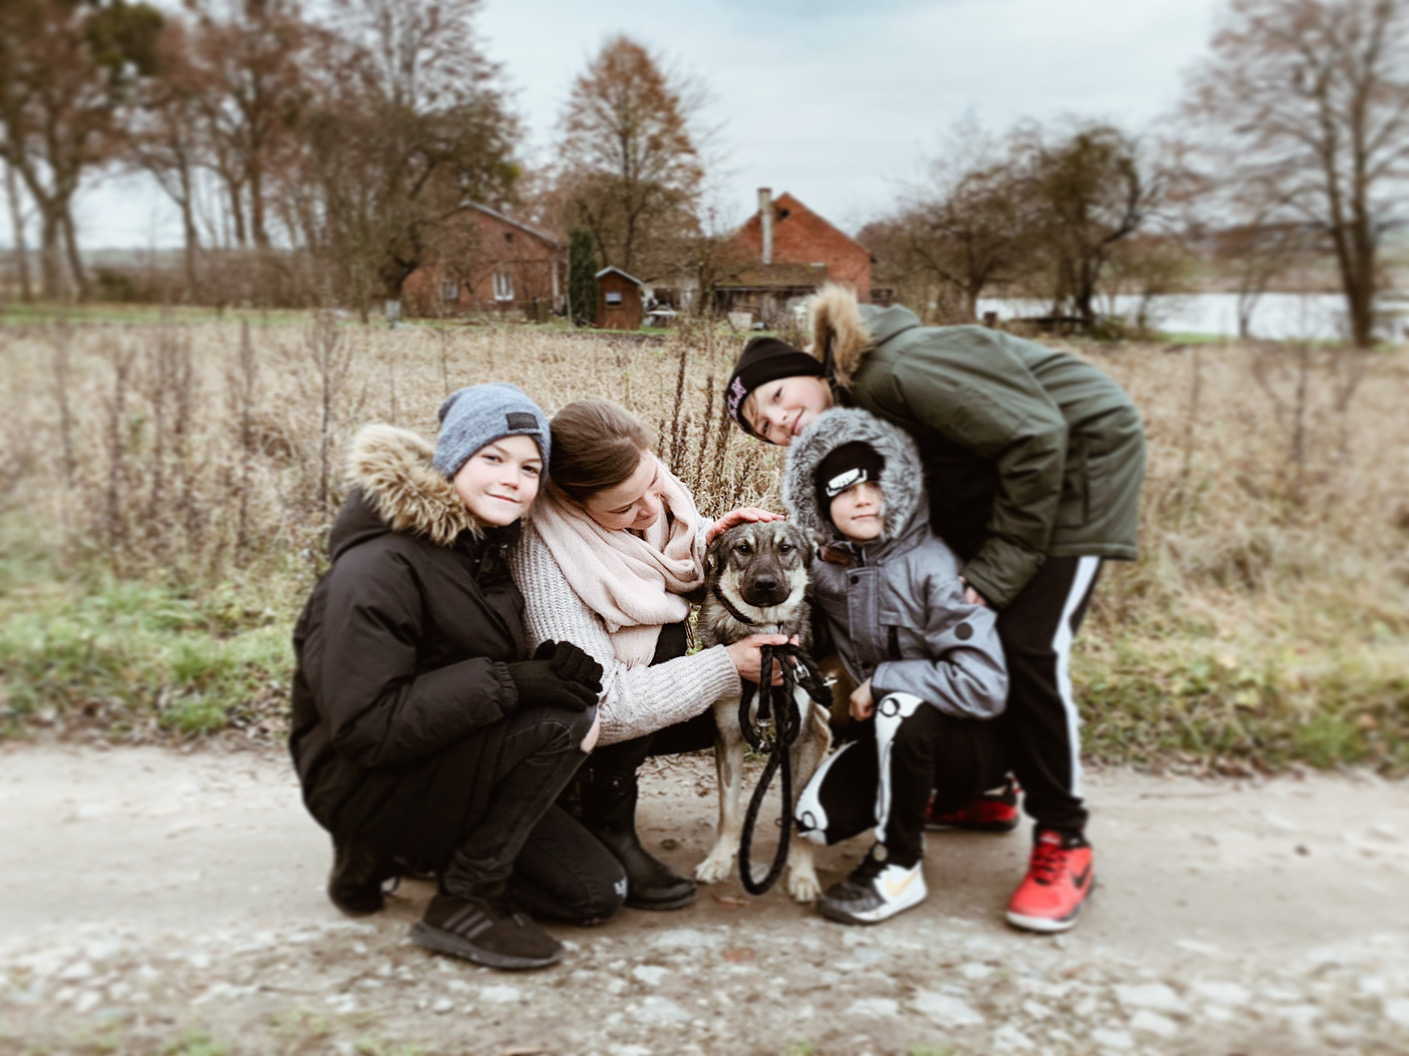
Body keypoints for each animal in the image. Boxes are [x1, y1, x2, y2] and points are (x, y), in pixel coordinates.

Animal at [693, 519, 833, 902]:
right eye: (743, 548)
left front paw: (801, 875)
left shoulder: (804, 737)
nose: (766, 584)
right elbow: (728, 809)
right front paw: (720, 859)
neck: (767, 642)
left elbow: (800, 818)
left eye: (786, 549)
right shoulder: (728, 735)